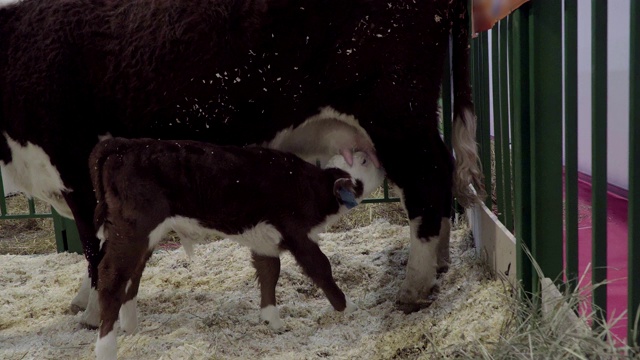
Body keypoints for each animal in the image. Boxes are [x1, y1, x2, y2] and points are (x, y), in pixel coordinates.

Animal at [0, 0, 482, 326]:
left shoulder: (76, 168)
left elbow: (93, 245)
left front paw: (92, 311)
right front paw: (84, 301)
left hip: (394, 111)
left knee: (427, 178)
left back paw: (414, 286)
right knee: (437, 177)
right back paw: (439, 263)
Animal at [90, 137, 384, 360]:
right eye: (363, 161)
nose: (380, 160)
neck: (311, 187)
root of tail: (123, 144)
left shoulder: (265, 240)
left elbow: (269, 273)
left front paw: (270, 320)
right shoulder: (297, 234)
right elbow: (322, 269)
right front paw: (348, 308)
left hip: (143, 236)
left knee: (132, 275)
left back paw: (130, 327)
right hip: (133, 230)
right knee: (110, 278)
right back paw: (106, 348)